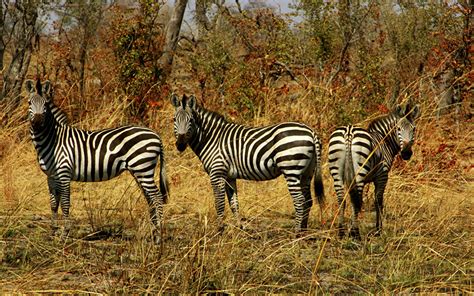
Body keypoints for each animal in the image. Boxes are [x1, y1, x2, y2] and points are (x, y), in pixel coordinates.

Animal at [25, 79, 168, 240]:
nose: (37, 123)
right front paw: (53, 231)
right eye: (29, 103)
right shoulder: (51, 176)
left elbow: (65, 203)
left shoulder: (64, 173)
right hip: (140, 171)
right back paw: (153, 232)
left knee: (157, 197)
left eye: (45, 105)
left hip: (143, 168)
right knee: (151, 199)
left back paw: (159, 235)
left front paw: (65, 234)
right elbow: (53, 204)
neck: (53, 139)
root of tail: (156, 135)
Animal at [171, 93, 326, 232]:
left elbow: (219, 202)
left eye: (191, 120)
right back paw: (304, 231)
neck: (212, 138)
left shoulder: (217, 172)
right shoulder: (229, 176)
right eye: (174, 119)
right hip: (307, 172)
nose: (180, 144)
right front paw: (239, 227)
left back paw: (296, 233)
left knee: (299, 200)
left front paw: (220, 229)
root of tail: (311, 131)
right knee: (307, 200)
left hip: (291, 168)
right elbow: (234, 203)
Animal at [328, 103, 420, 239]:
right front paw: (378, 230)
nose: (406, 153)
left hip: (337, 173)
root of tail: (349, 131)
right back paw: (356, 234)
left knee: (341, 200)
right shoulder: (382, 176)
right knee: (357, 201)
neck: (384, 141)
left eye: (414, 129)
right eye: (398, 129)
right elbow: (378, 201)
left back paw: (341, 231)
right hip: (359, 172)